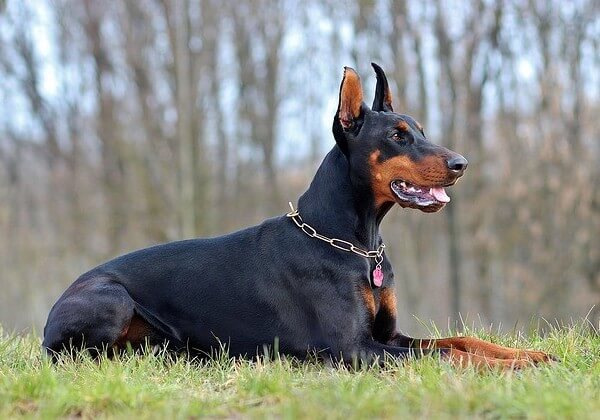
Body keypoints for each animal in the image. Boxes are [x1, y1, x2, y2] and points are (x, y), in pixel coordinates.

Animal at [43, 64, 552, 370]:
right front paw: (510, 367)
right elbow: (447, 358)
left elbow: (460, 342)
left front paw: (528, 354)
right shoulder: (355, 349)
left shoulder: (389, 336)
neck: (353, 242)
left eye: (421, 131)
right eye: (398, 136)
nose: (461, 163)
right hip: (111, 299)